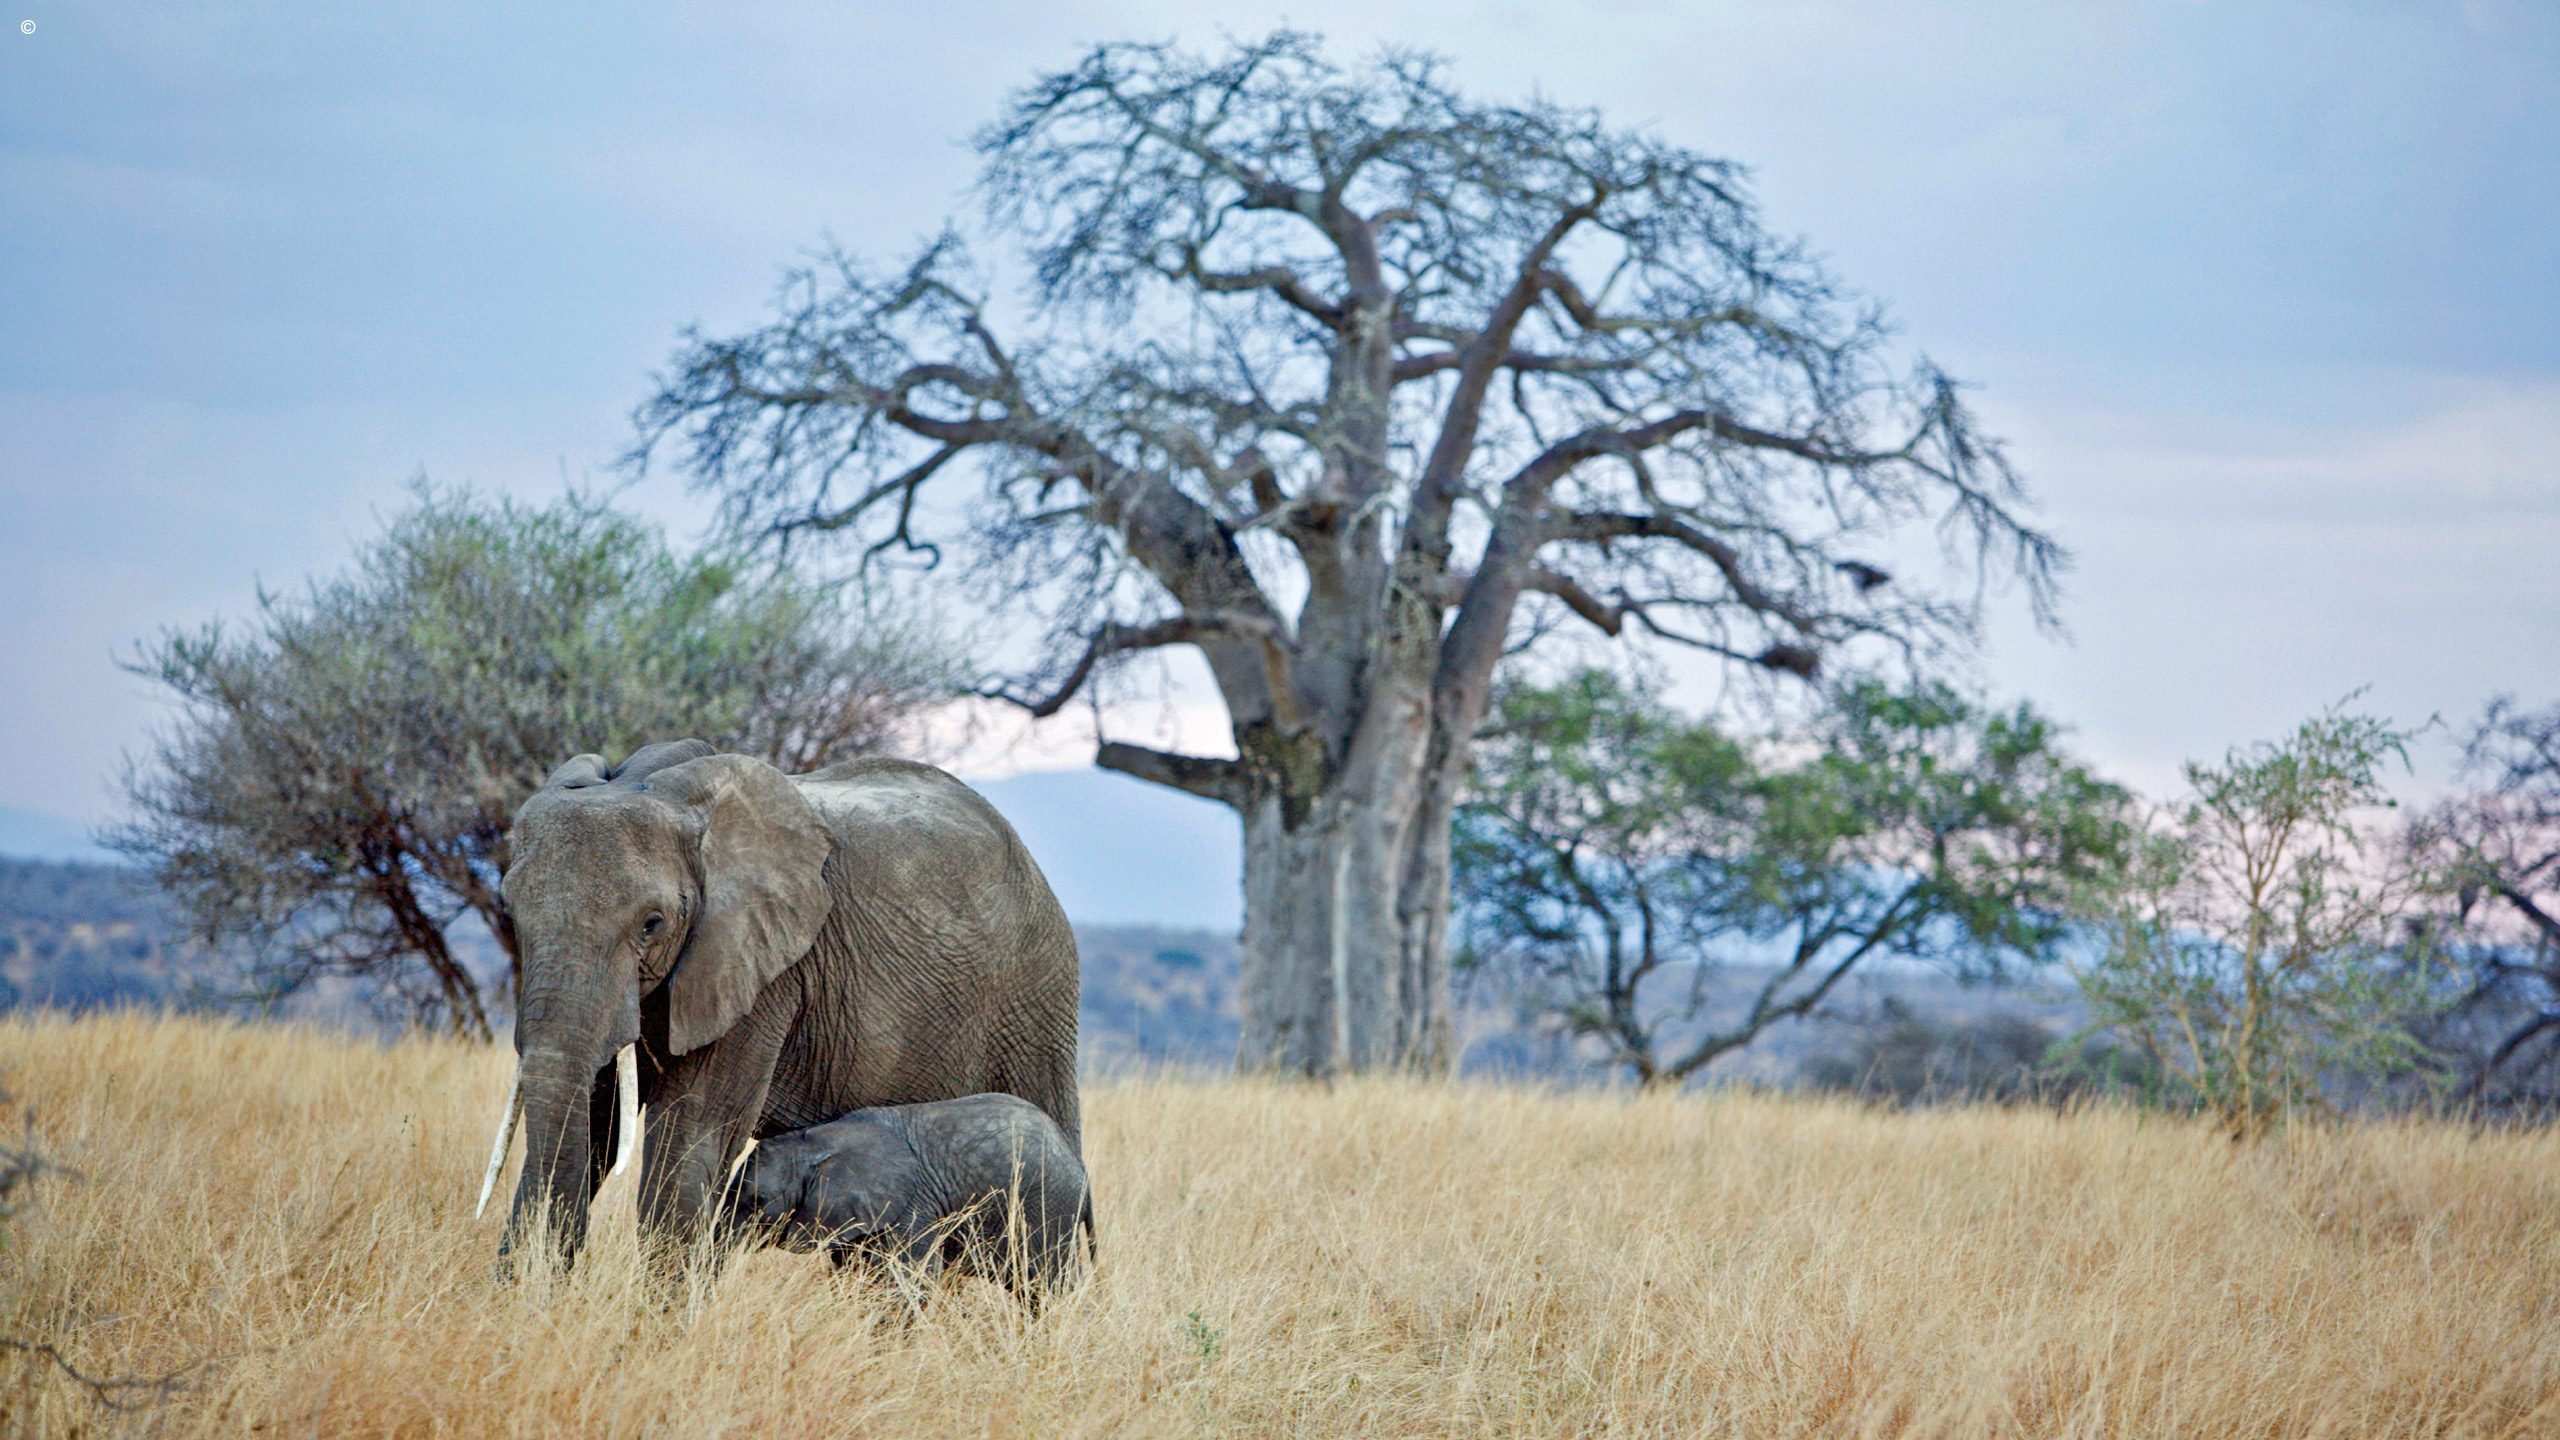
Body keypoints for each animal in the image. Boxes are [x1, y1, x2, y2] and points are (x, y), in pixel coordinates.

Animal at [476, 737, 1075, 1265]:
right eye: (509, 911)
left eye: (652, 923)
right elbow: (597, 1113)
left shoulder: (765, 970)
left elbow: (695, 1129)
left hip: (1035, 1002)